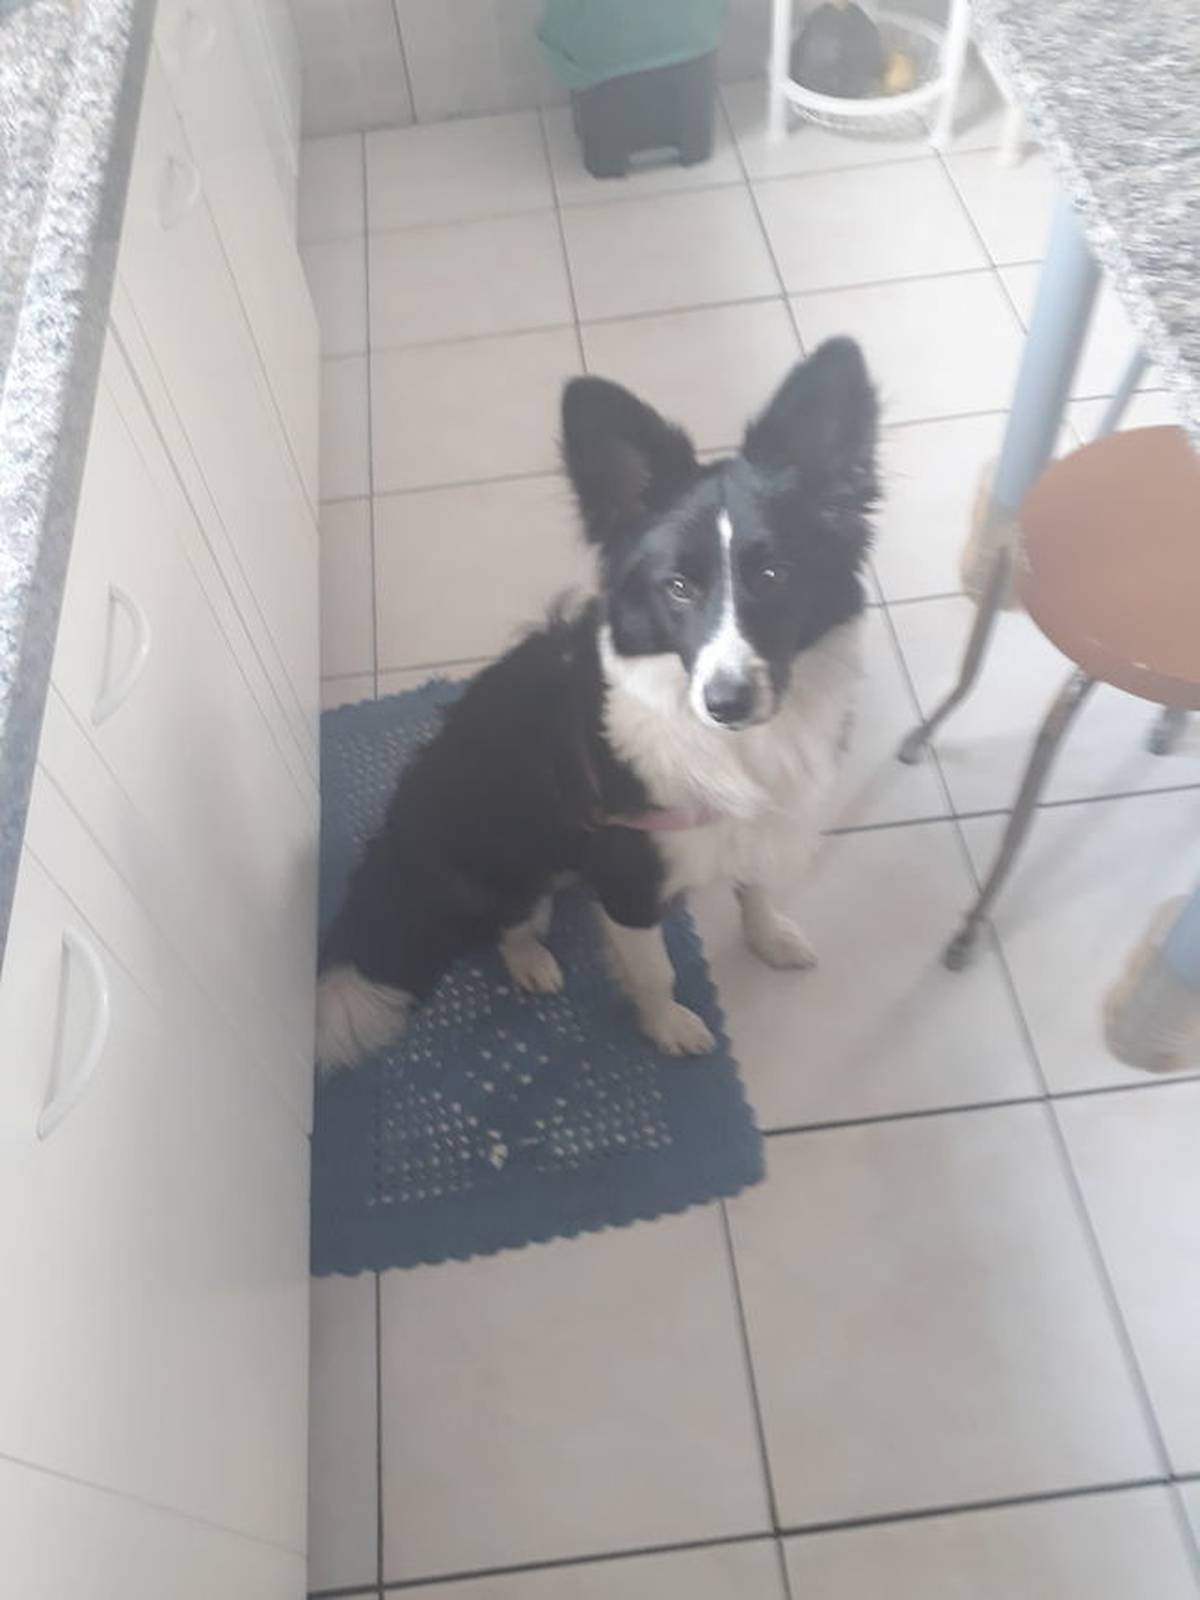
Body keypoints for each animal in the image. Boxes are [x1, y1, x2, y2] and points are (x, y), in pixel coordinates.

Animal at [316, 337, 878, 1070]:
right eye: (677, 586)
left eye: (774, 574)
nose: (727, 703)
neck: (728, 745)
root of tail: (398, 842)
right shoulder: (627, 876)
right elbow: (654, 969)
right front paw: (668, 1027)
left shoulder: (755, 820)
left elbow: (753, 884)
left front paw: (769, 936)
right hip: (506, 850)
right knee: (507, 922)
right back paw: (531, 959)